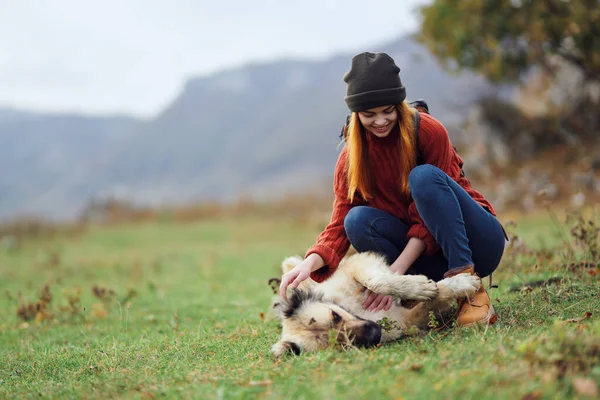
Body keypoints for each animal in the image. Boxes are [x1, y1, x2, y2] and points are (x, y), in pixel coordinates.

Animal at [272, 253, 482, 356]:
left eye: (335, 316)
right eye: (340, 344)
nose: (375, 332)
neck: (355, 310)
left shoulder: (356, 265)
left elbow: (376, 281)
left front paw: (421, 287)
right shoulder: (406, 319)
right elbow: (437, 298)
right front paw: (460, 284)